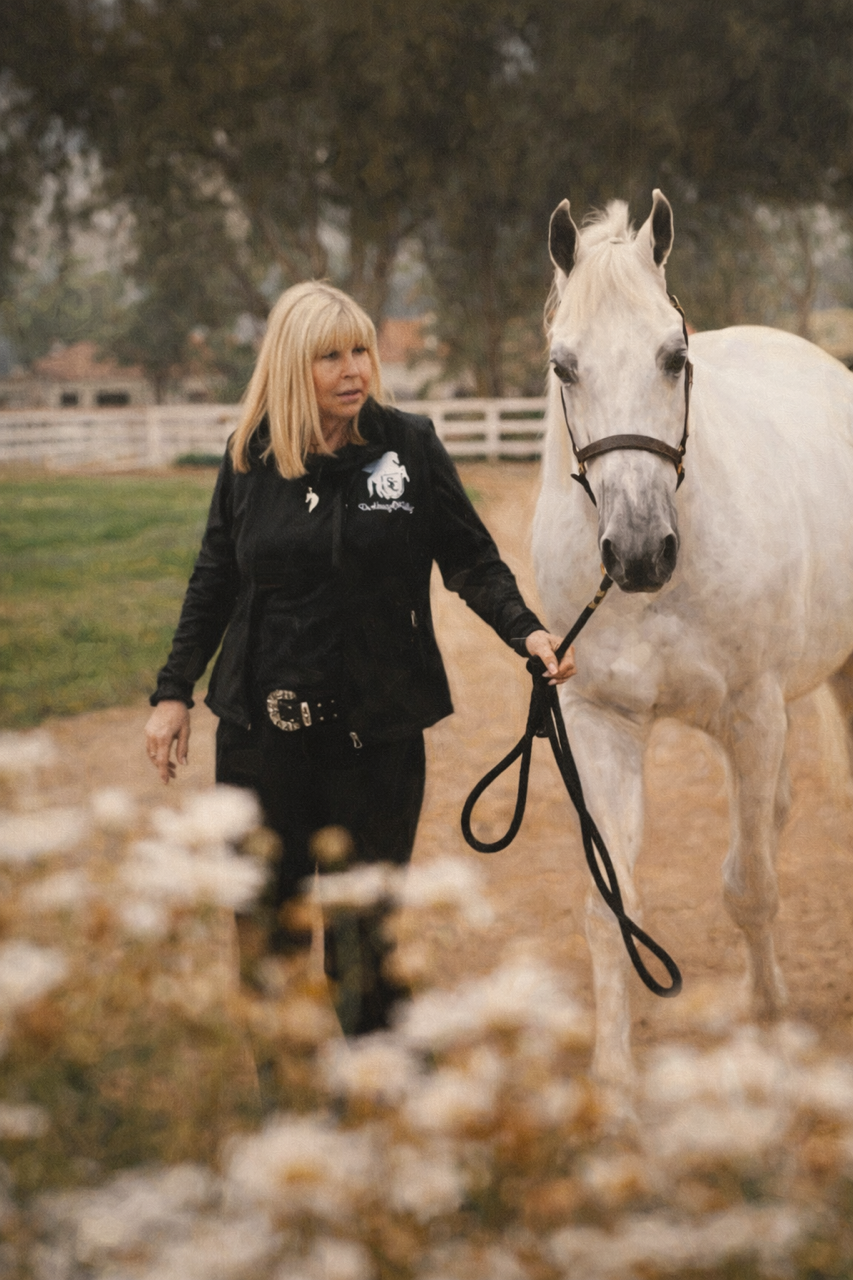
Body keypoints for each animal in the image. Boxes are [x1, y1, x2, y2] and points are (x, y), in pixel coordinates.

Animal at [531, 190, 853, 1089]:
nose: (639, 552)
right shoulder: (600, 723)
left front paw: (768, 1014)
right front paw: (612, 1083)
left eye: (672, 356)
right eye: (563, 366)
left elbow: (752, 886)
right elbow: (609, 905)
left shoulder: (752, 713)